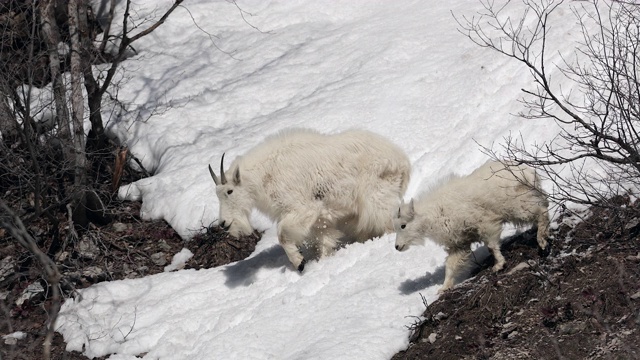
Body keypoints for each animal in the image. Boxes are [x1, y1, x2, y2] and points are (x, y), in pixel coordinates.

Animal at [210, 128, 410, 272]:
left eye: (229, 191)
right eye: (217, 194)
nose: (224, 223)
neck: (265, 175)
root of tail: (402, 161)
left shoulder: (303, 210)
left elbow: (283, 235)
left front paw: (299, 262)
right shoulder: (319, 220)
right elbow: (325, 240)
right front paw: (321, 260)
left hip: (376, 198)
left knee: (388, 222)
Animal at [396, 160, 552, 292]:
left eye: (403, 225)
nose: (397, 246)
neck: (433, 215)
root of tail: (529, 173)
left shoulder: (485, 222)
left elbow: (491, 245)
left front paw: (499, 264)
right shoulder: (459, 243)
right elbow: (451, 266)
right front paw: (444, 288)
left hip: (517, 204)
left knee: (542, 211)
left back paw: (542, 239)